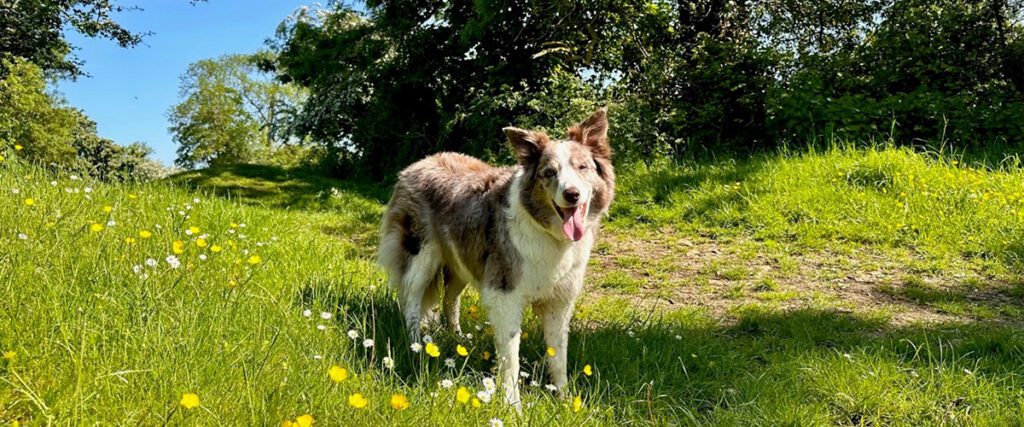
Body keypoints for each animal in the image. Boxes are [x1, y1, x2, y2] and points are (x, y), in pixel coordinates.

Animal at [378, 106, 610, 405]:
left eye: (583, 167)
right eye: (549, 172)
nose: (572, 194)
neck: (550, 236)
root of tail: (418, 164)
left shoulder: (559, 301)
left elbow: (558, 356)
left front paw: (565, 400)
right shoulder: (504, 293)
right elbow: (511, 358)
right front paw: (513, 406)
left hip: (464, 260)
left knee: (450, 299)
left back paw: (457, 336)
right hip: (421, 256)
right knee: (411, 301)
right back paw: (415, 344)